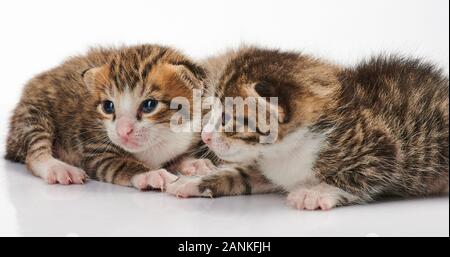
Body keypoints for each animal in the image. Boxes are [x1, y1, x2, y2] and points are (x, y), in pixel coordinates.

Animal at [4, 44, 213, 188]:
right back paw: (58, 168)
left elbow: (178, 157)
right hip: (32, 114)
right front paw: (151, 174)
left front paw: (192, 163)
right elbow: (120, 164)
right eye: (108, 106)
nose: (123, 131)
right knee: (35, 150)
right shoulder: (94, 148)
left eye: (149, 105)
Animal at [160, 47, 448, 209]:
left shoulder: (384, 148)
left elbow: (360, 175)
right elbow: (238, 174)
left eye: (229, 117)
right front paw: (193, 182)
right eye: (211, 110)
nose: (206, 137)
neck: (286, 151)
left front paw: (315, 193)